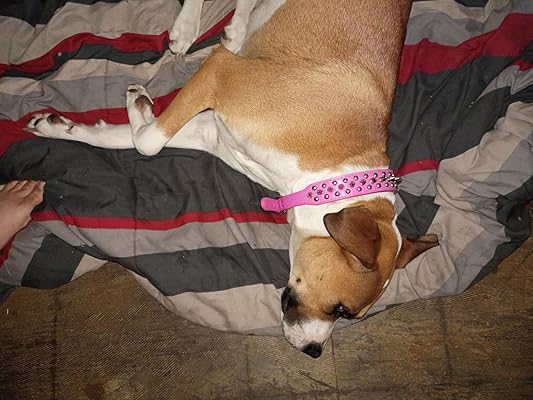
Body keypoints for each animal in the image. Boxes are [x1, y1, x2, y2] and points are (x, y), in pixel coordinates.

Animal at [27, 0, 438, 358]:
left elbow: (130, 139)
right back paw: (190, 29)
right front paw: (136, 109)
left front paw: (67, 127)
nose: (314, 352)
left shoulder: (211, 131)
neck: (326, 174)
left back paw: (238, 27)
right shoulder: (220, 74)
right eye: (340, 309)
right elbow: (147, 142)